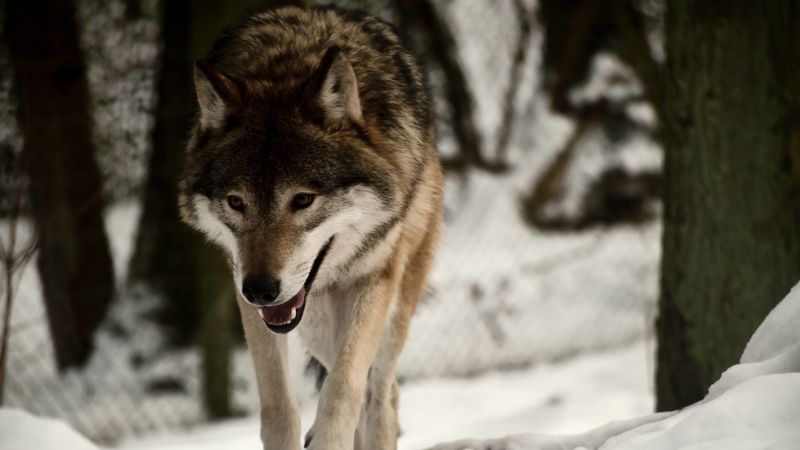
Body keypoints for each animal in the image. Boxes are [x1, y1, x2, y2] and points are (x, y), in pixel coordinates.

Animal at [178, 6, 443, 450]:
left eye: (302, 200)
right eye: (236, 202)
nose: (260, 289)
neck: (290, 62)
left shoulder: (375, 278)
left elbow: (344, 389)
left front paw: (329, 436)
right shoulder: (250, 297)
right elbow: (278, 407)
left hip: (392, 311)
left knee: (381, 393)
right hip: (315, 325)